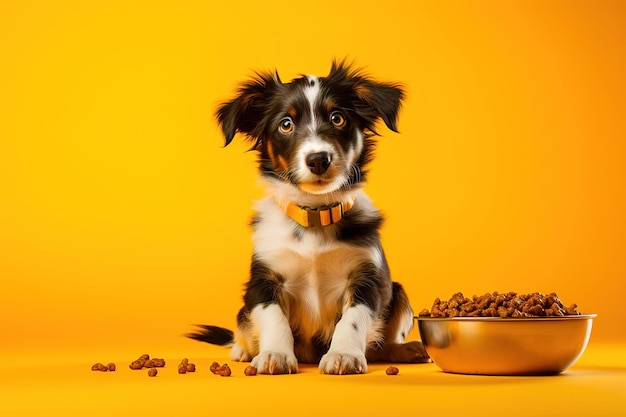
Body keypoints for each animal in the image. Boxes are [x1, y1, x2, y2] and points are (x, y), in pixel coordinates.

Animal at [186, 59, 428, 374]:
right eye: (286, 124)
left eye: (338, 118)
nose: (318, 159)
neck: (315, 215)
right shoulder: (263, 281)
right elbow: (274, 318)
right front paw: (275, 354)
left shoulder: (367, 278)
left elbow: (353, 319)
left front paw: (343, 355)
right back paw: (242, 350)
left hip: (398, 293)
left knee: (383, 344)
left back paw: (405, 349)